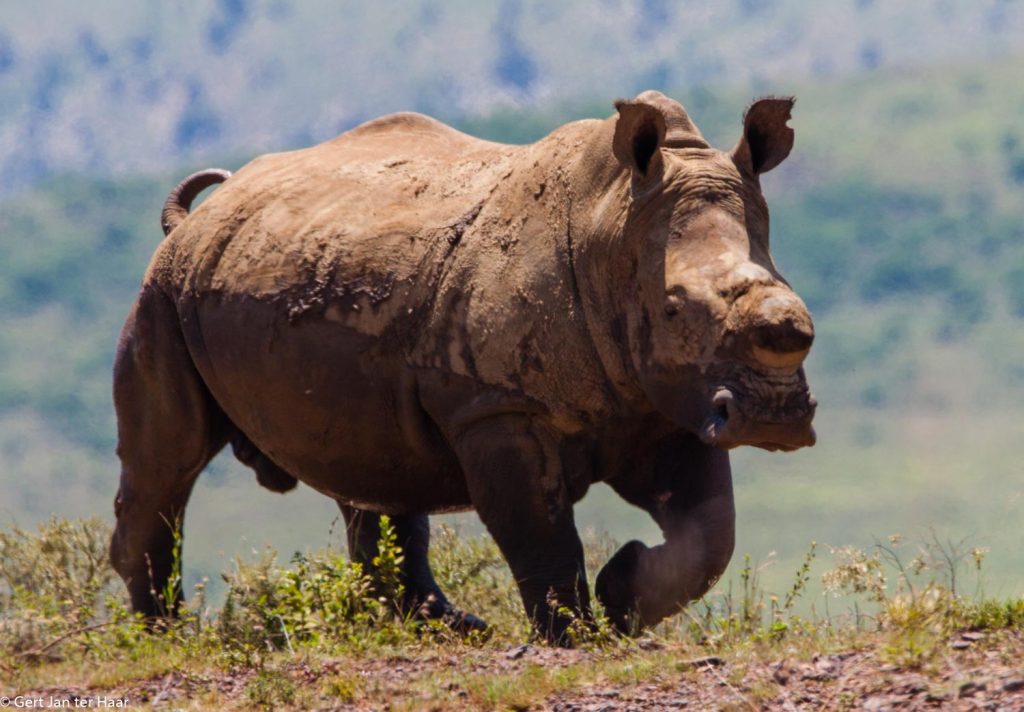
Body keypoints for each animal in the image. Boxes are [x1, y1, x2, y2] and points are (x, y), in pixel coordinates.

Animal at [110, 90, 816, 642]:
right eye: (673, 308)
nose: (775, 418)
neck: (613, 228)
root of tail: (196, 220)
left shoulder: (674, 402)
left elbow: (710, 535)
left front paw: (621, 595)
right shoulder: (498, 407)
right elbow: (540, 535)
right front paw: (573, 637)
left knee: (373, 470)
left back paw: (453, 630)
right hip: (164, 292)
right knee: (170, 458)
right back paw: (165, 635)